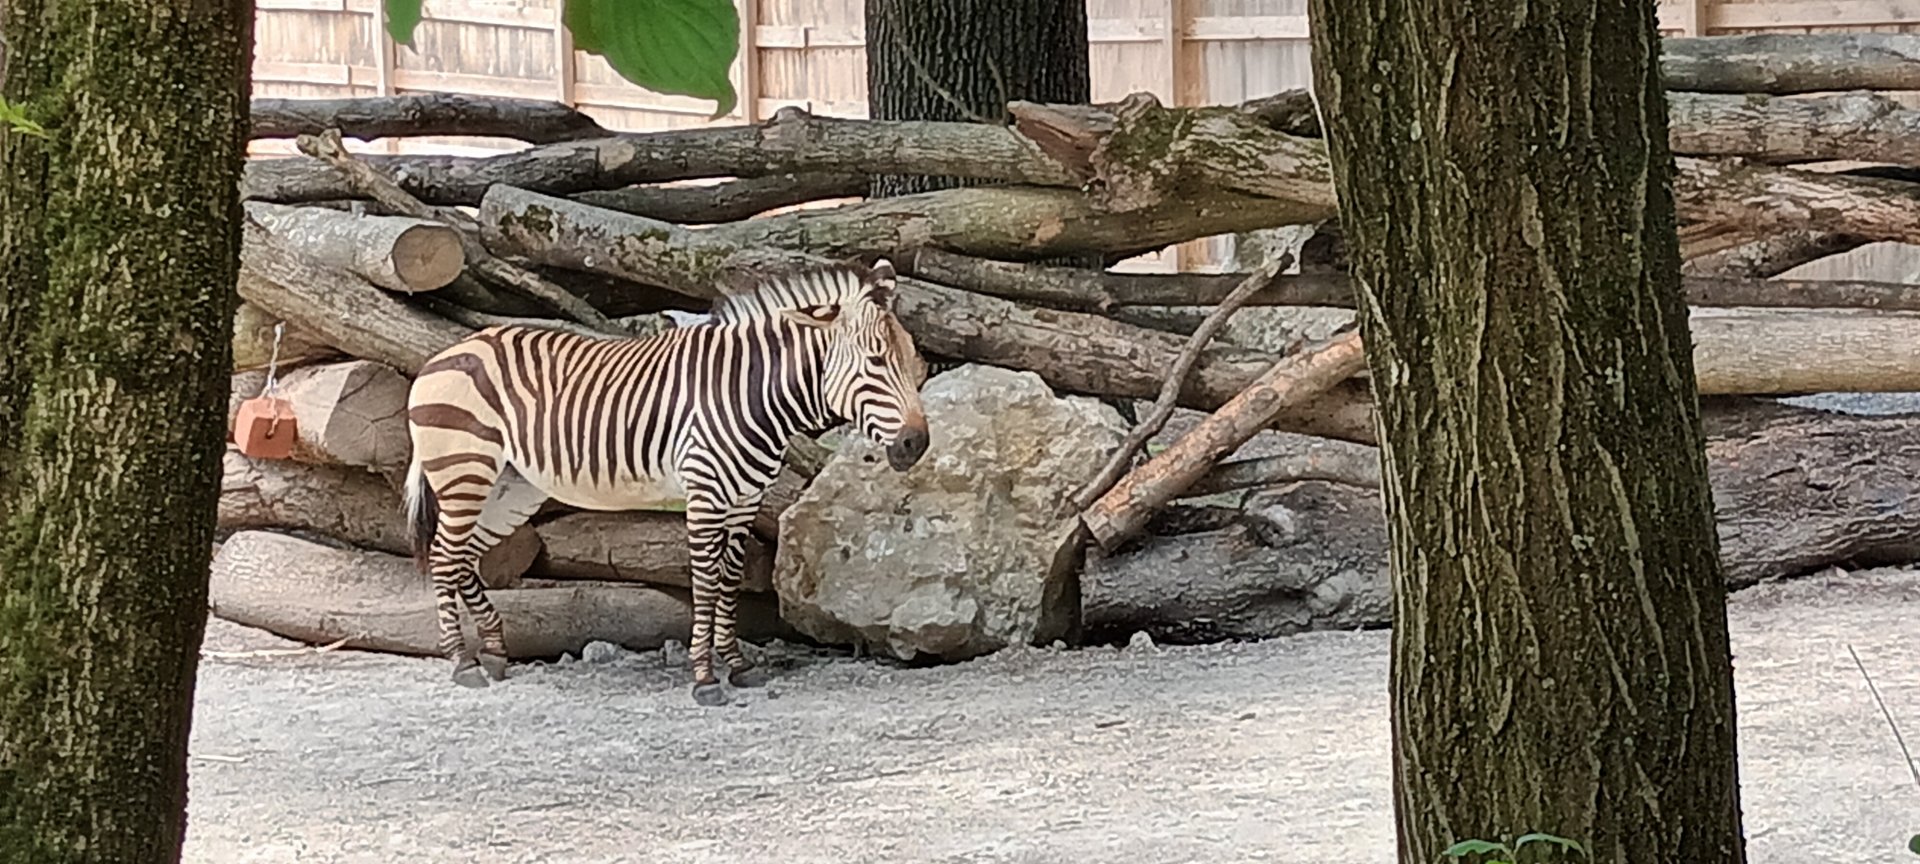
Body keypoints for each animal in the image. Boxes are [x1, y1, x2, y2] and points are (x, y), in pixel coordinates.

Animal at [401, 258, 931, 706]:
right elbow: (706, 582)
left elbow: (730, 580)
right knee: (445, 557)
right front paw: (704, 679)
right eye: (875, 362)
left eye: (914, 360)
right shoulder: (705, 496)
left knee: (464, 557)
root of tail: (449, 351)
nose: (916, 444)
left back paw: (493, 652)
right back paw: (463, 662)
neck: (753, 394)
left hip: (511, 486)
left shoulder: (745, 499)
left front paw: (737, 666)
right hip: (465, 471)